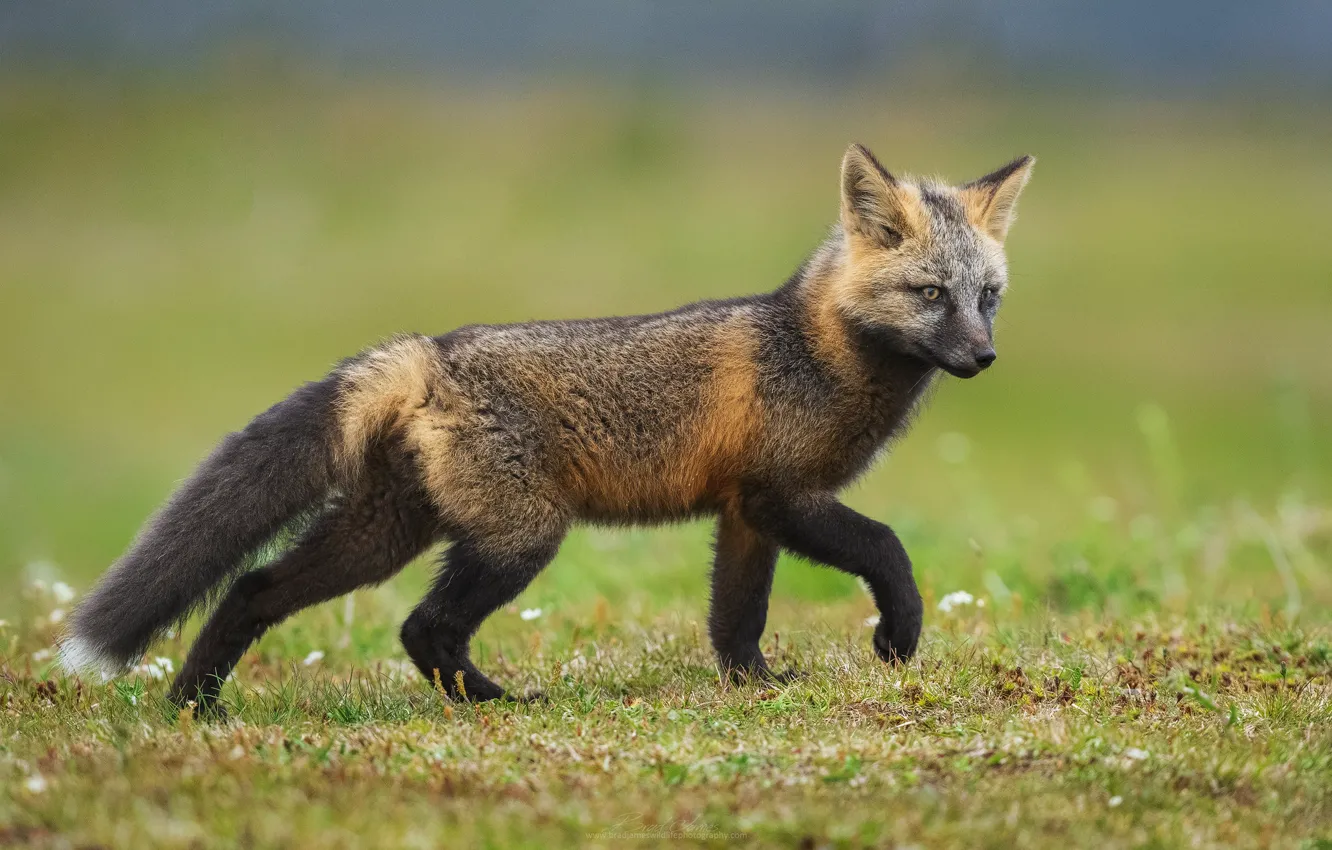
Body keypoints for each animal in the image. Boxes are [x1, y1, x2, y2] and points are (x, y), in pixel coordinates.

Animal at [60, 144, 1033, 713]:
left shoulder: (744, 513)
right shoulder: (783, 495)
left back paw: (194, 703)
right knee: (420, 627)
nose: (985, 358)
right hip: (520, 537)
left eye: (988, 297)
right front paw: (897, 638)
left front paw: (753, 688)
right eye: (931, 294)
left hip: (384, 534)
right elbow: (889, 549)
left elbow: (736, 620)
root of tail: (428, 351)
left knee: (252, 587)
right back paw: (493, 703)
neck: (816, 350)